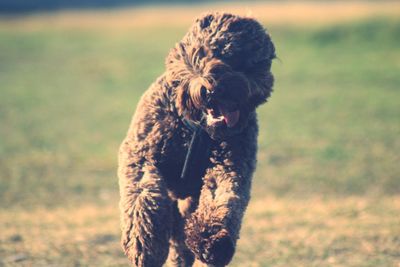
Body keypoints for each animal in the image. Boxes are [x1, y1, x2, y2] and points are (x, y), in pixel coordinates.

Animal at [119, 12, 276, 267]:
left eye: (234, 58)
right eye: (202, 55)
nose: (212, 89)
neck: (198, 130)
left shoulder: (230, 164)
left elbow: (222, 197)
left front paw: (212, 242)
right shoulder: (141, 154)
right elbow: (143, 193)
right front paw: (145, 244)